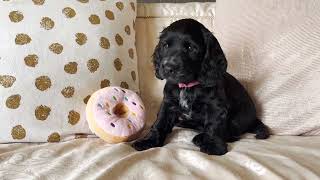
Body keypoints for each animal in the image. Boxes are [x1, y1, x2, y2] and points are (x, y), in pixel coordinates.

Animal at [131, 19, 268, 155]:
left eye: (190, 48)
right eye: (165, 45)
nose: (168, 67)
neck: (187, 86)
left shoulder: (216, 106)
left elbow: (213, 125)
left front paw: (213, 146)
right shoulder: (168, 102)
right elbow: (160, 122)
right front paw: (148, 141)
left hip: (238, 118)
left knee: (232, 134)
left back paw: (200, 138)